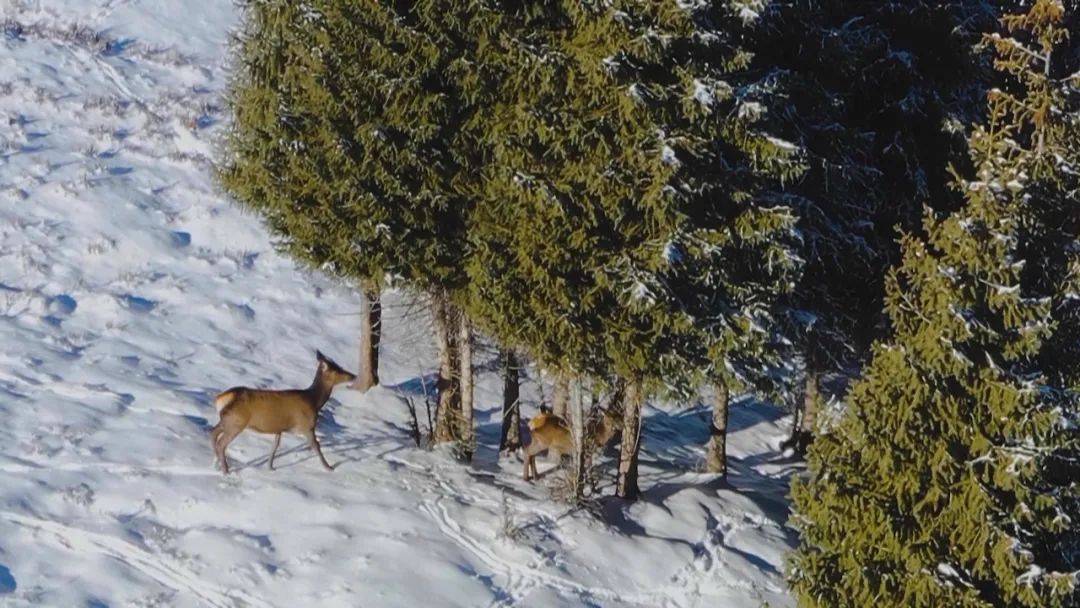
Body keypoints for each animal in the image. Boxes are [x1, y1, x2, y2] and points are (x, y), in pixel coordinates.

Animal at [210, 350, 356, 474]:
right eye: (337, 369)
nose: (353, 376)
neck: (314, 402)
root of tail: (221, 398)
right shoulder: (307, 425)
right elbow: (317, 446)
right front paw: (329, 467)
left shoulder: (279, 429)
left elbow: (275, 447)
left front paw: (270, 467)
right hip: (236, 422)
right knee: (221, 443)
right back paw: (226, 471)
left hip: (227, 419)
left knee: (213, 432)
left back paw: (216, 463)